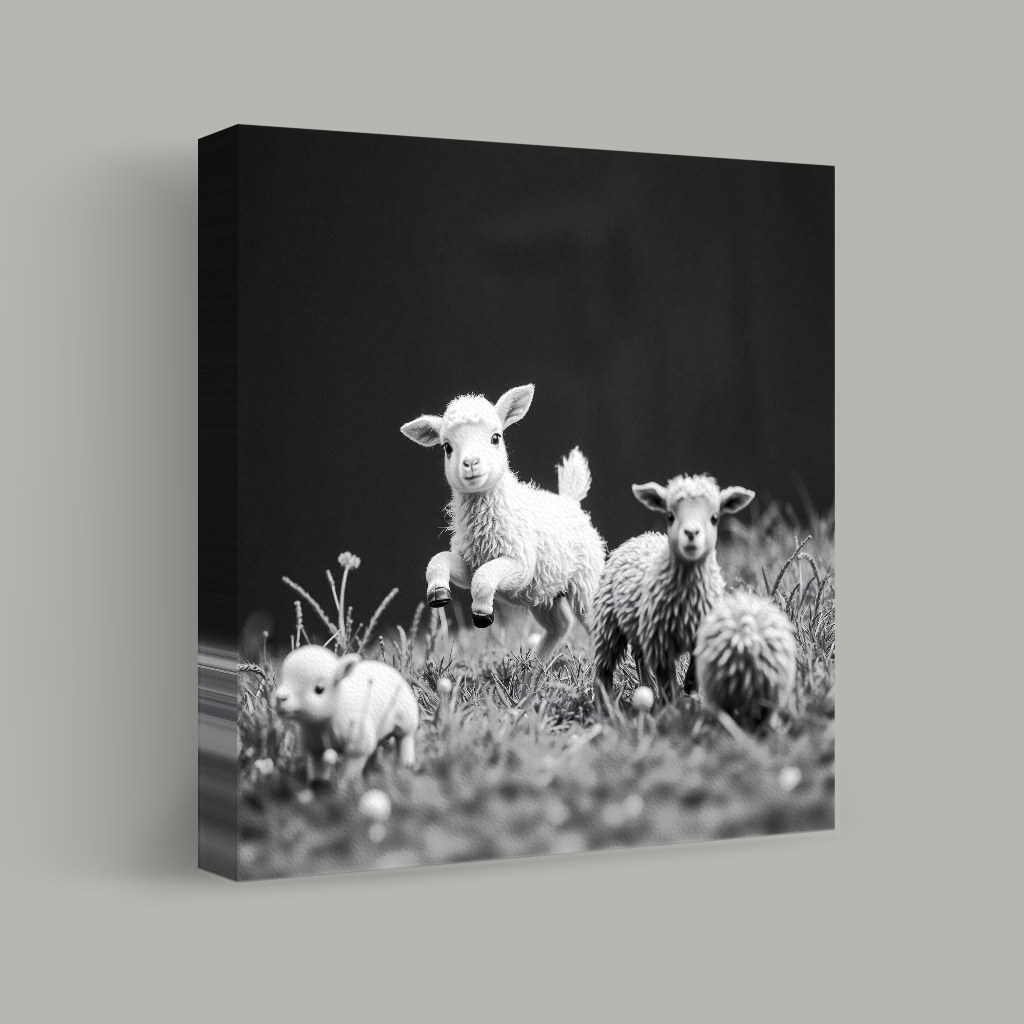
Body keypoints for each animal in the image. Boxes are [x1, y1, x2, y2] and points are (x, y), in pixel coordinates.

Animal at [272, 645, 419, 787]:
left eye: (319, 689)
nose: (280, 698)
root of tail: (384, 666)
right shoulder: (315, 746)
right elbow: (317, 768)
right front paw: (317, 785)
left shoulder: (358, 745)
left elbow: (350, 772)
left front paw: (345, 788)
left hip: (406, 719)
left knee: (405, 739)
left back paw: (404, 768)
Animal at [401, 384, 606, 664]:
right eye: (447, 448)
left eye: (496, 437)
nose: (471, 463)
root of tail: (570, 500)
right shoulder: (470, 563)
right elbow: (439, 560)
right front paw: (438, 593)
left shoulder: (520, 565)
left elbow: (485, 578)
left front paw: (482, 612)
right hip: (547, 592)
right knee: (560, 624)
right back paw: (534, 668)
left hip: (585, 581)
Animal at [591, 473, 754, 701]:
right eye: (670, 516)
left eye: (715, 517)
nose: (691, 533)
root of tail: (640, 537)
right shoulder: (660, 643)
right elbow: (668, 685)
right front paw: (674, 705)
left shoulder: (699, 633)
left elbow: (693, 676)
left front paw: (692, 696)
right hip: (608, 624)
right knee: (604, 668)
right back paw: (605, 703)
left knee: (639, 657)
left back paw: (647, 689)